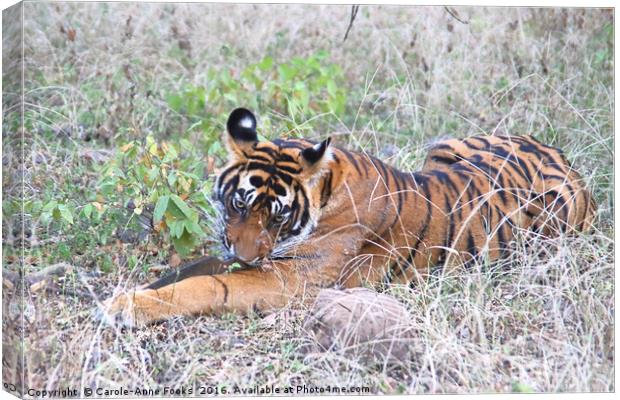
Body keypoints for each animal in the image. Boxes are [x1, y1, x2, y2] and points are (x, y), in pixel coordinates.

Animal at [101, 108, 596, 326]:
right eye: (240, 204)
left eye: (277, 218)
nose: (247, 255)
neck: (328, 189)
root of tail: (566, 159)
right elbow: (190, 269)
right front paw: (127, 295)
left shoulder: (289, 281)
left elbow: (207, 285)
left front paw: (127, 307)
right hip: (445, 146)